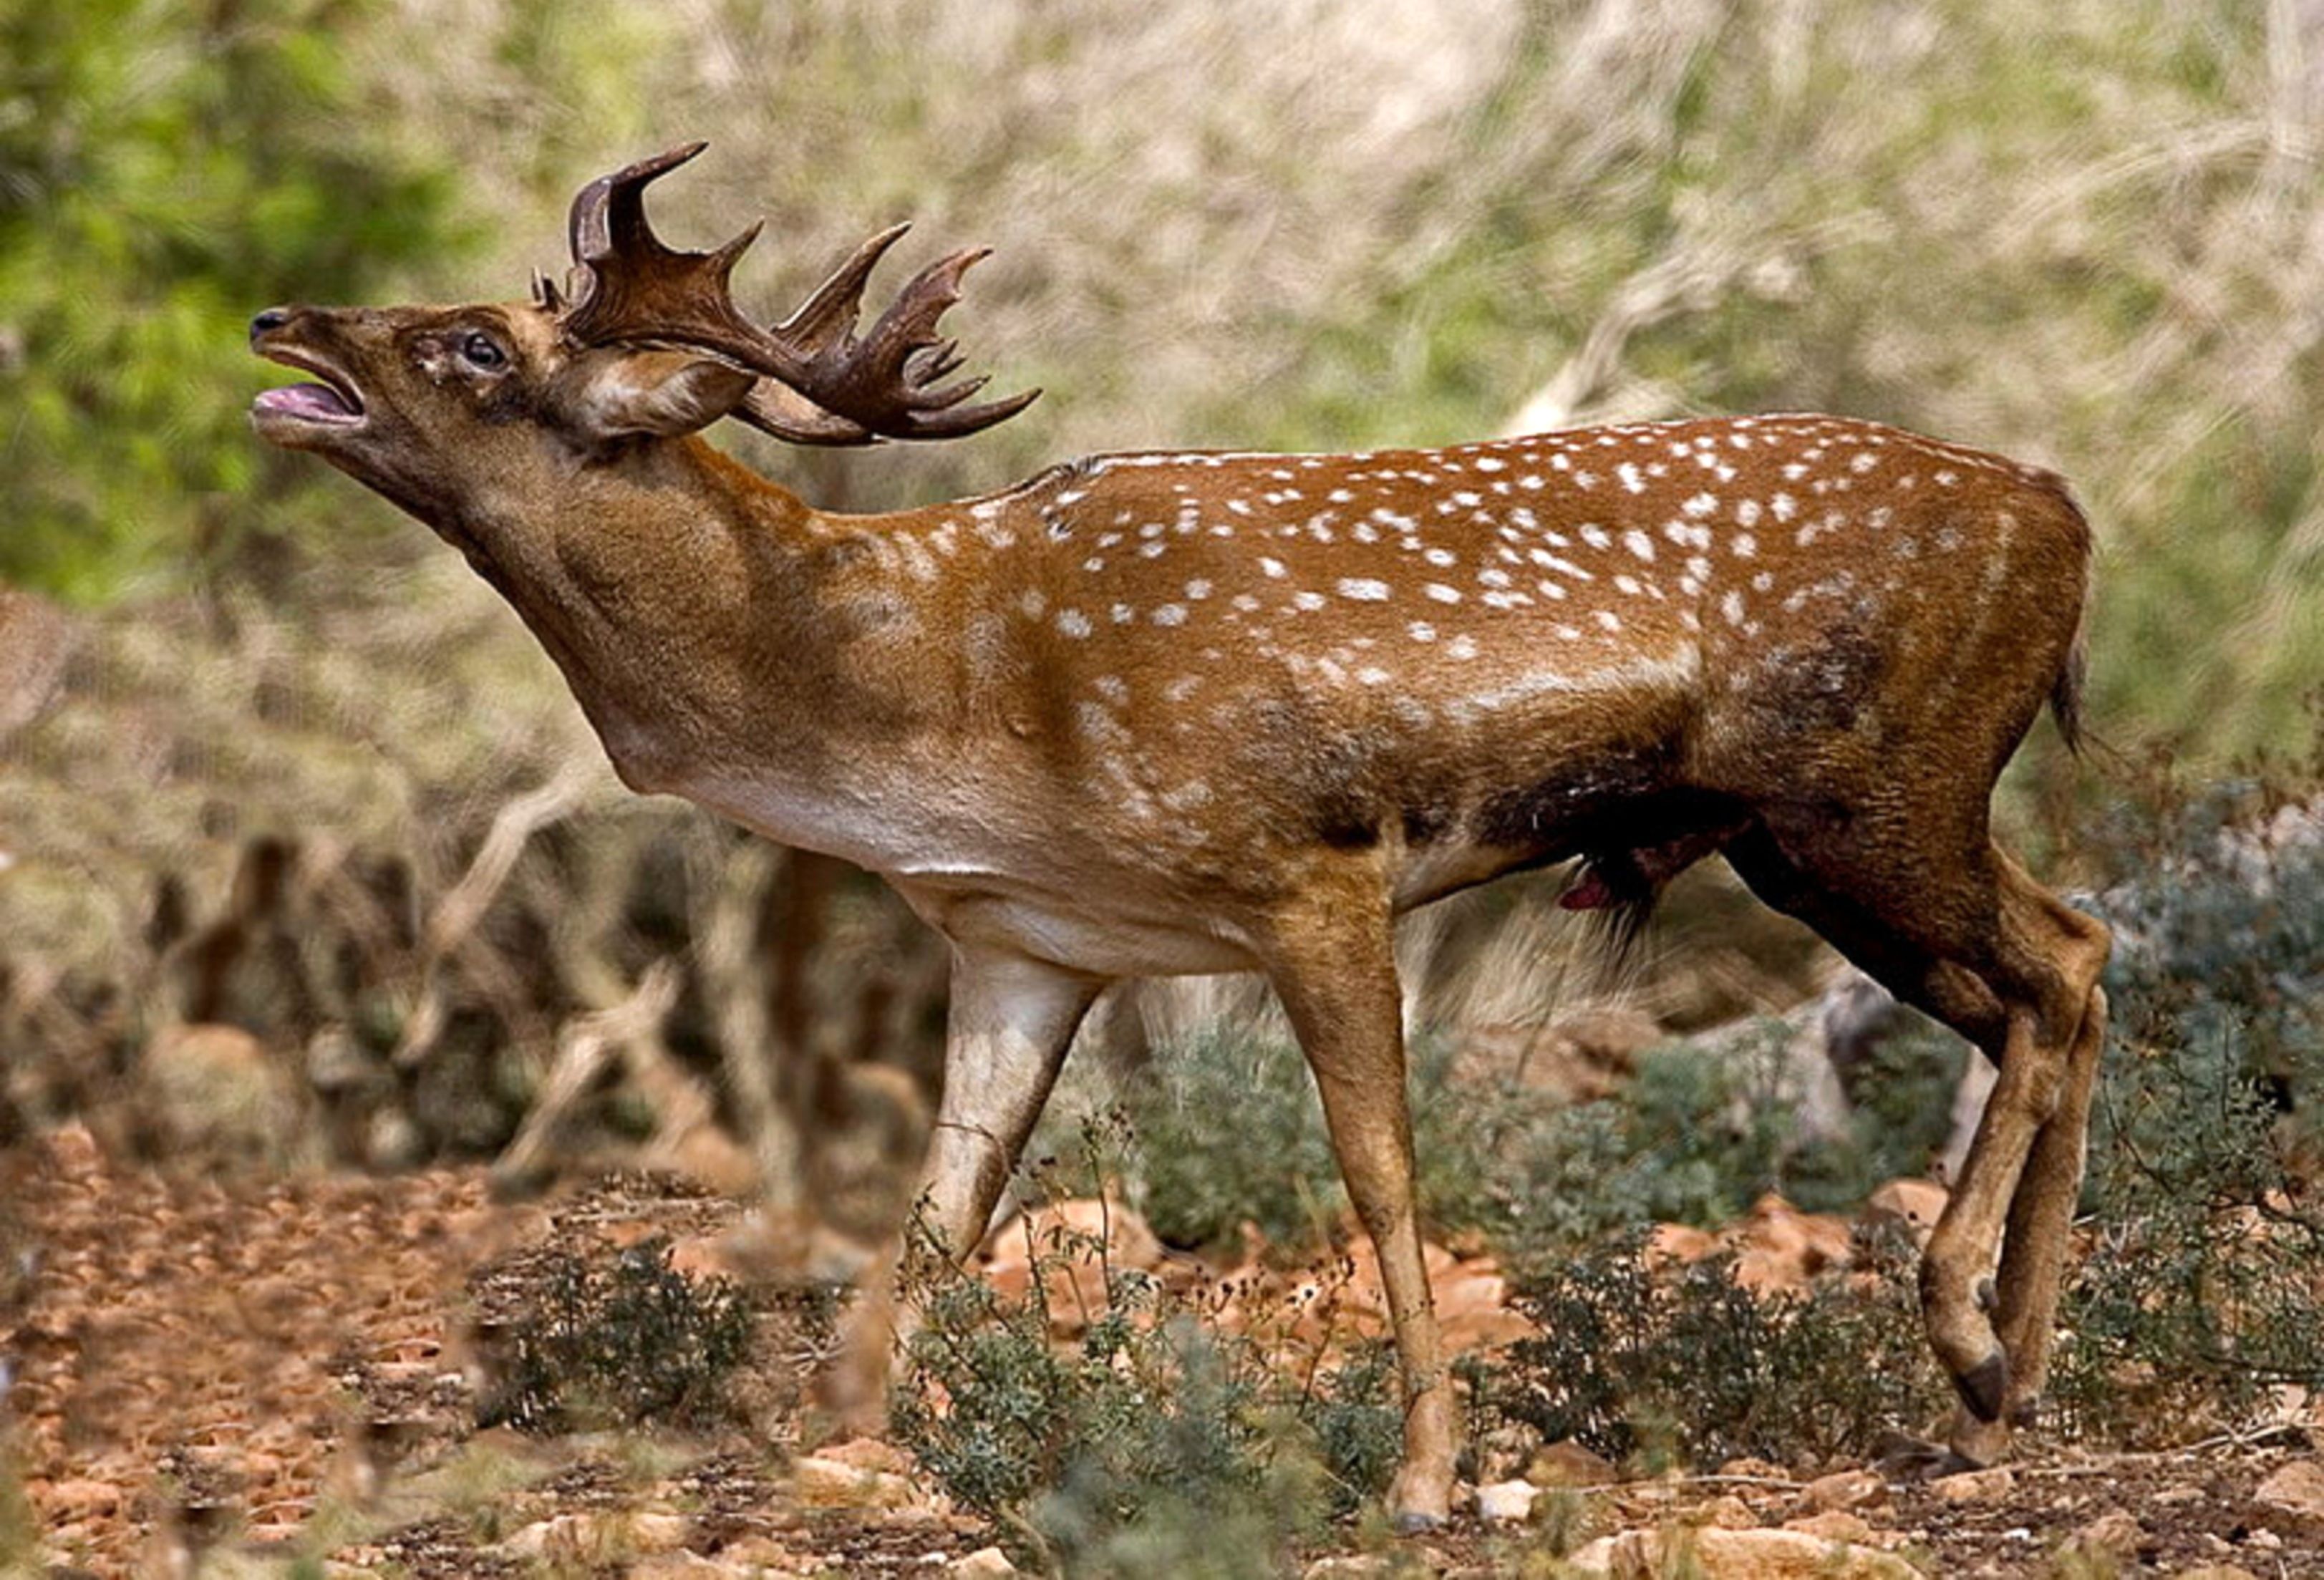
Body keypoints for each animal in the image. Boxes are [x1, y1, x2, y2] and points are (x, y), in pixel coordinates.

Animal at [249, 141, 2110, 1524]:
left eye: (476, 347)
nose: (281, 327)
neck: (936, 699)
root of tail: (2066, 513)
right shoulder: (1025, 940)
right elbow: (942, 1210)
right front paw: (839, 1435)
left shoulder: (1312, 866)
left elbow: (1378, 1173)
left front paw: (1427, 1475)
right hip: (1825, 827)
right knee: (2074, 956)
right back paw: (2007, 1380)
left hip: (1865, 798)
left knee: (2059, 963)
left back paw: (1969, 1340)